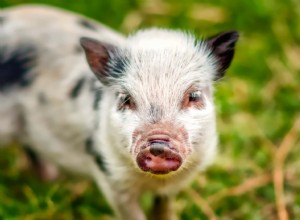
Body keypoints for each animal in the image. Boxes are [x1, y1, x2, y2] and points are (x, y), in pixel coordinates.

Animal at [0, 3, 239, 220]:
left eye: (194, 96)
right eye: (126, 99)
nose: (158, 144)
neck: (154, 181)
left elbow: (163, 209)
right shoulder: (111, 177)